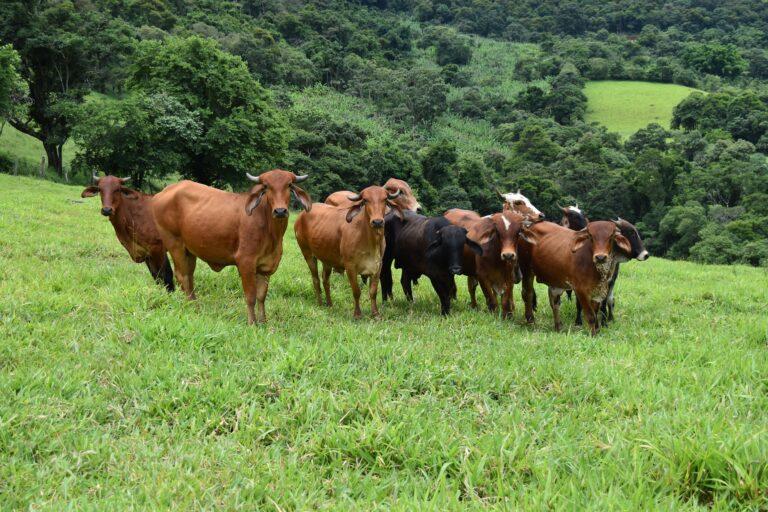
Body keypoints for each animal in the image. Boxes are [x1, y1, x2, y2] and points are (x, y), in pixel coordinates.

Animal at [151, 170, 312, 324]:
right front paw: (252, 323)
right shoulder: (245, 262)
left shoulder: (266, 267)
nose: (280, 211)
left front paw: (263, 322)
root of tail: (164, 192)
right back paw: (191, 307)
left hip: (189, 251)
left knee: (189, 276)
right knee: (182, 276)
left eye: (289, 185)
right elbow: (251, 296)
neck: (271, 232)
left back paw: (195, 305)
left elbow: (261, 296)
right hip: (175, 244)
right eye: (266, 186)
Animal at [294, 186, 402, 319]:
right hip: (308, 254)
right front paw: (357, 314)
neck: (370, 241)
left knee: (325, 280)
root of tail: (303, 214)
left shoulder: (378, 266)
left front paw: (375, 314)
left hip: (327, 259)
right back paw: (320, 303)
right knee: (316, 279)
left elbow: (373, 292)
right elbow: (356, 291)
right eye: (365, 200)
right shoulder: (350, 266)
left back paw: (329, 304)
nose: (377, 222)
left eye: (385, 199)